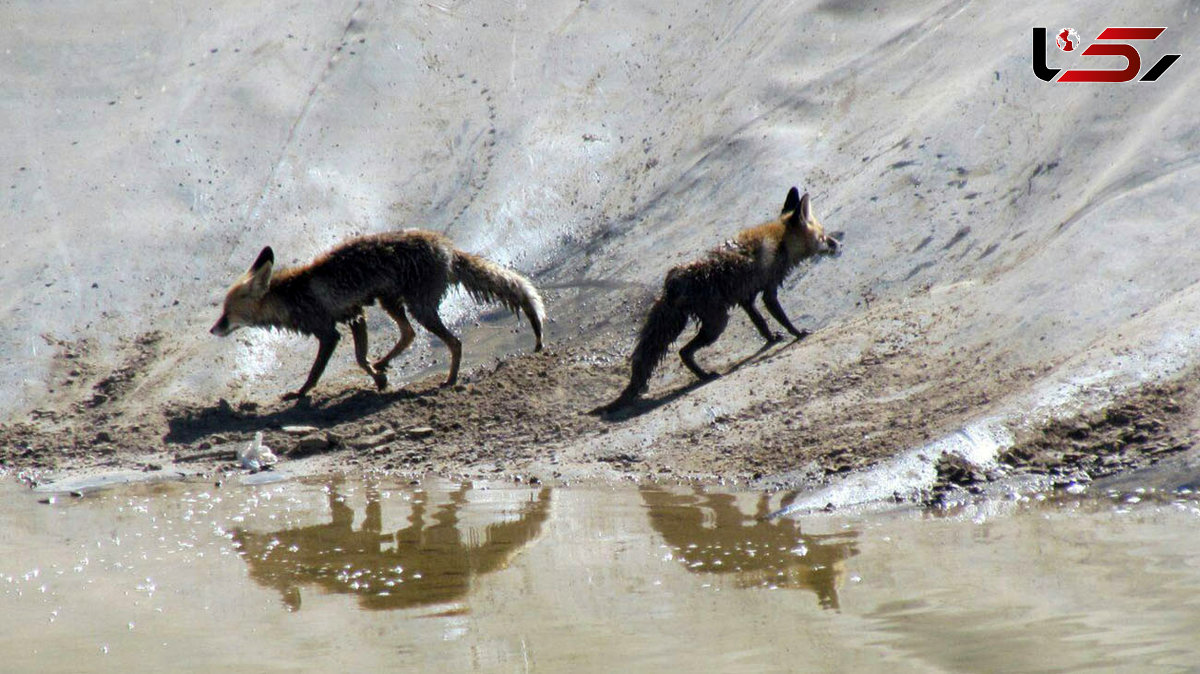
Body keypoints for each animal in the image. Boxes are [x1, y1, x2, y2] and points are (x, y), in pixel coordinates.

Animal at [211, 230, 544, 398]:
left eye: (227, 313)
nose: (213, 329)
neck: (292, 295)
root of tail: (446, 248)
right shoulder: (356, 316)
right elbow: (360, 359)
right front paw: (379, 377)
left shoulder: (329, 331)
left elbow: (317, 371)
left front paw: (300, 393)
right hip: (391, 302)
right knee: (409, 334)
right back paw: (385, 362)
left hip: (419, 308)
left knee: (454, 342)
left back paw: (449, 380)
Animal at [592, 185, 840, 412]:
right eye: (823, 236)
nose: (838, 244)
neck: (782, 241)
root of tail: (674, 280)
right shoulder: (769, 291)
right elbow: (782, 318)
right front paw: (798, 333)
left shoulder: (747, 298)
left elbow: (760, 322)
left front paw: (771, 338)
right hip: (718, 323)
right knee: (684, 352)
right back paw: (705, 376)